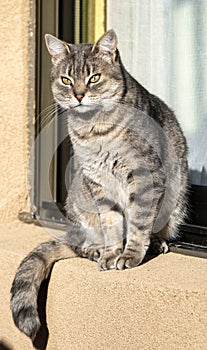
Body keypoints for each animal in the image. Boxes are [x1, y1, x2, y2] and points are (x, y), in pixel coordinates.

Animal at [10, 29, 188, 340]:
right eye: (66, 80)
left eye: (94, 78)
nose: (79, 95)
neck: (94, 130)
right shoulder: (98, 183)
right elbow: (111, 224)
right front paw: (112, 253)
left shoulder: (145, 176)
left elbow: (138, 222)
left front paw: (130, 254)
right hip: (78, 205)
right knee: (81, 244)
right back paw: (96, 249)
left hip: (176, 201)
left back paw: (156, 243)